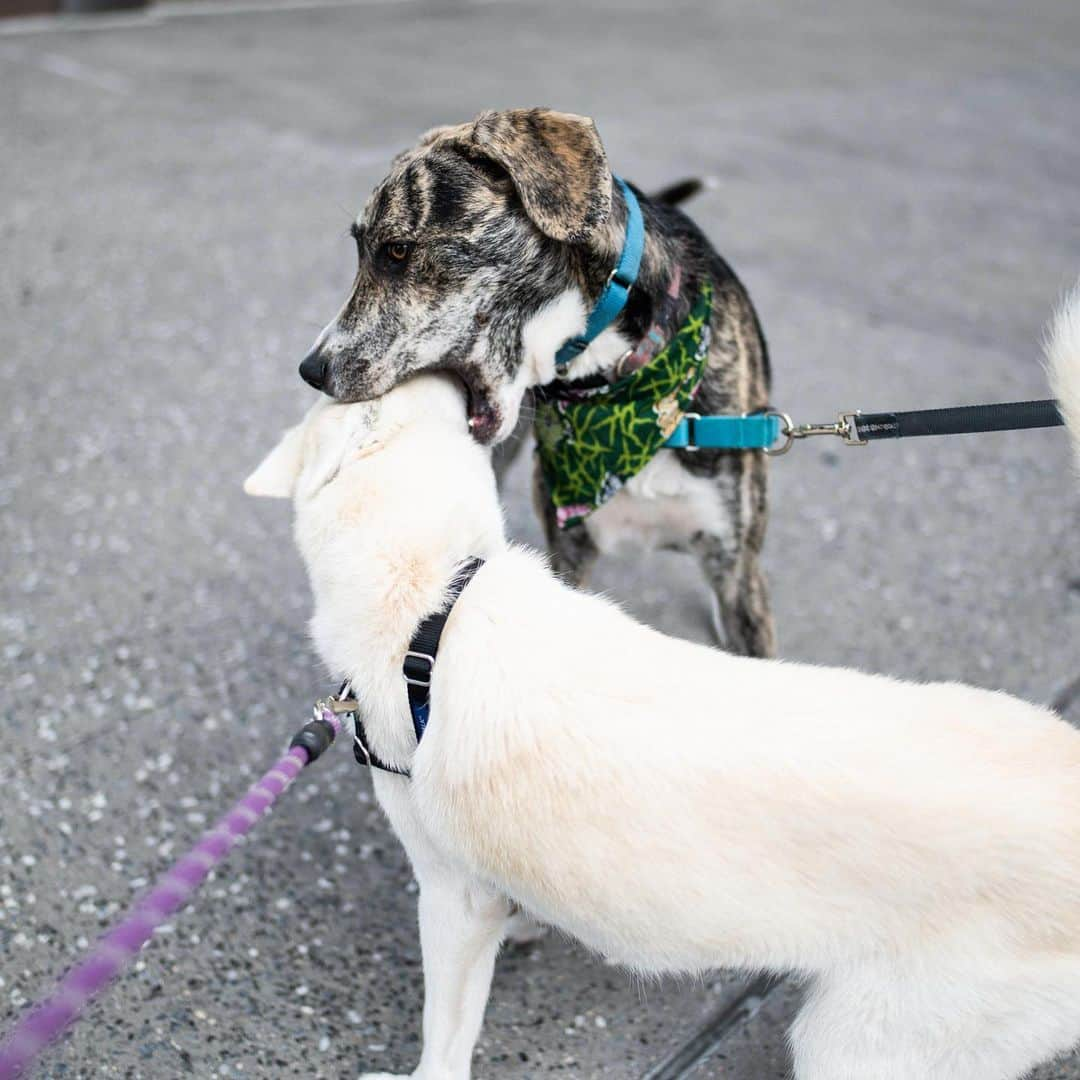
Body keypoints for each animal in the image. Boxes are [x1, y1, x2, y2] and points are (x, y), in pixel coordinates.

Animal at [300, 109, 773, 652]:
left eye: (397, 251)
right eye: (360, 249)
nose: (311, 370)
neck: (618, 388)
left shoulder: (738, 572)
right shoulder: (569, 552)